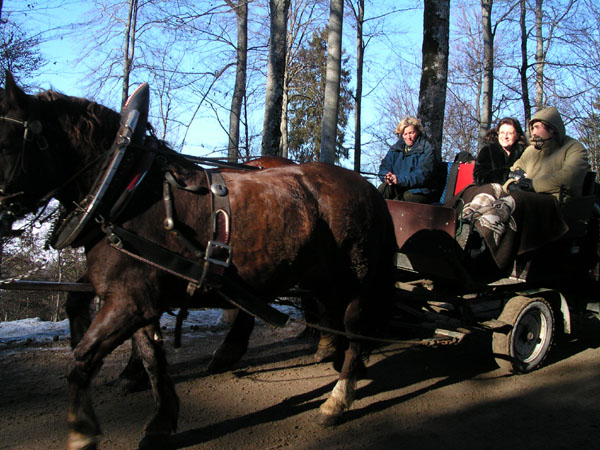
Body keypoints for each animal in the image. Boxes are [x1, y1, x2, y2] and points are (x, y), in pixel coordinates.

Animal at [1, 72, 398, 448]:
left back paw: (338, 398)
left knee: (355, 329)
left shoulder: (127, 302)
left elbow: (82, 360)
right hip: (319, 277)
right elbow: (151, 358)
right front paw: (160, 421)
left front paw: (82, 430)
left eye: (6, 142)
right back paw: (324, 356)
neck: (124, 188)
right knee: (327, 317)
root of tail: (369, 189)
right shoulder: (136, 299)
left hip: (357, 280)